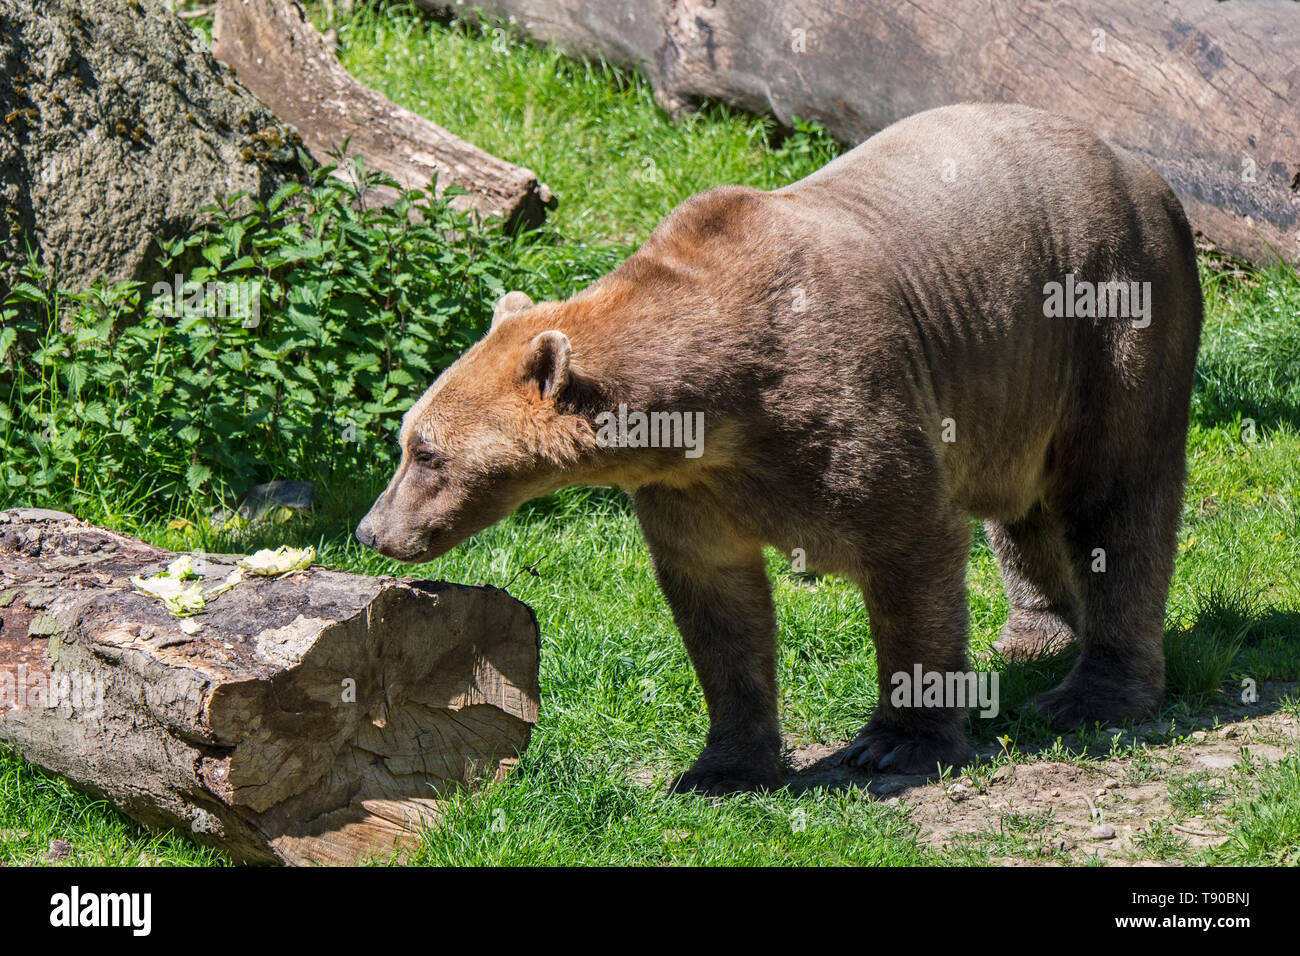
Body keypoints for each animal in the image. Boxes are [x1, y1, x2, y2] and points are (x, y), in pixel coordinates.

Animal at [353, 102, 1196, 790]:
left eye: (427, 453)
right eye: (405, 440)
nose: (371, 530)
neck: (718, 404)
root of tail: (1144, 169)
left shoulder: (848, 405)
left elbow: (912, 548)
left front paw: (896, 741)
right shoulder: (690, 487)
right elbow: (717, 604)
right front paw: (721, 764)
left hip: (1106, 310)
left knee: (1117, 497)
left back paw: (1093, 692)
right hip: (1014, 384)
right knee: (1019, 507)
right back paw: (1032, 635)